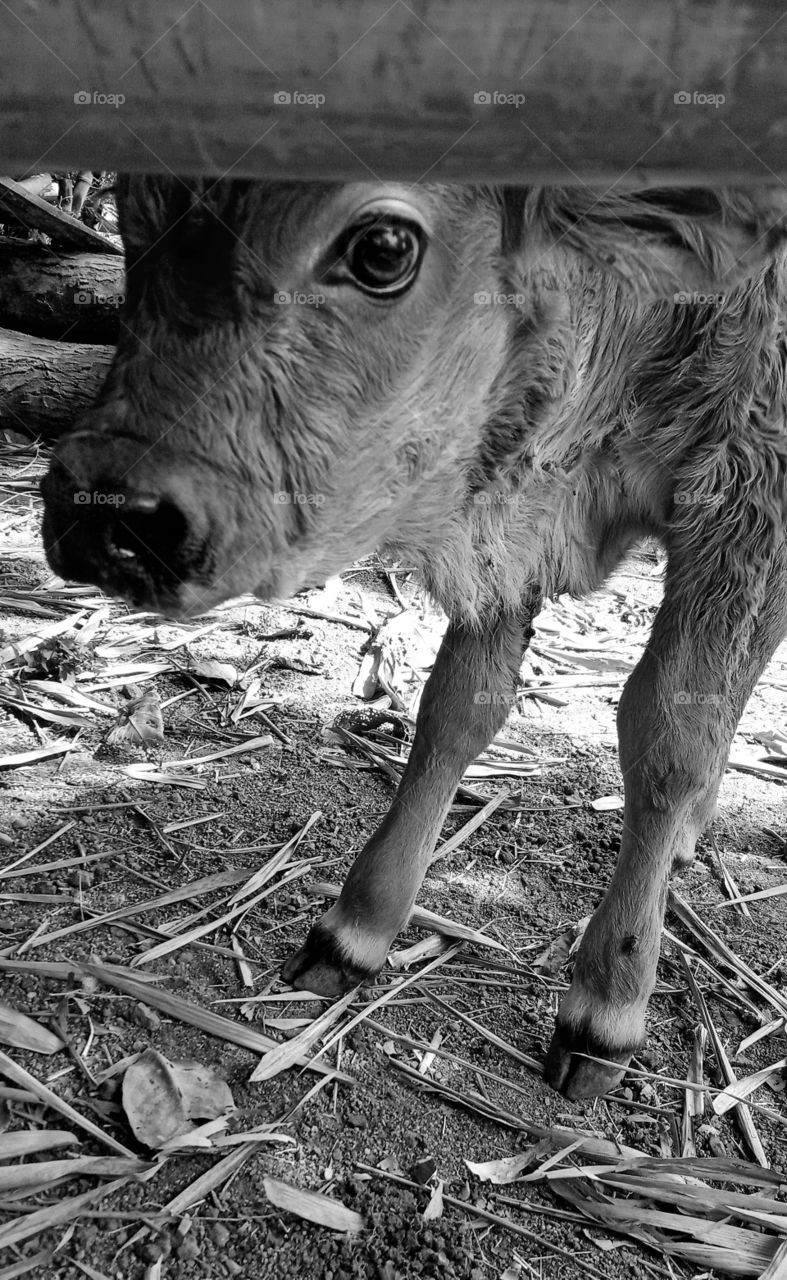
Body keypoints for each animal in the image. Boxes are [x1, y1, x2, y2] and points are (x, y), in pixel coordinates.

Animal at [41, 177, 787, 1099]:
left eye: (384, 249)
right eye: (135, 207)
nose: (100, 512)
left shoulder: (748, 503)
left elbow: (668, 738)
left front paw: (603, 1014)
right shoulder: (510, 519)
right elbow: (457, 708)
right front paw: (352, 932)